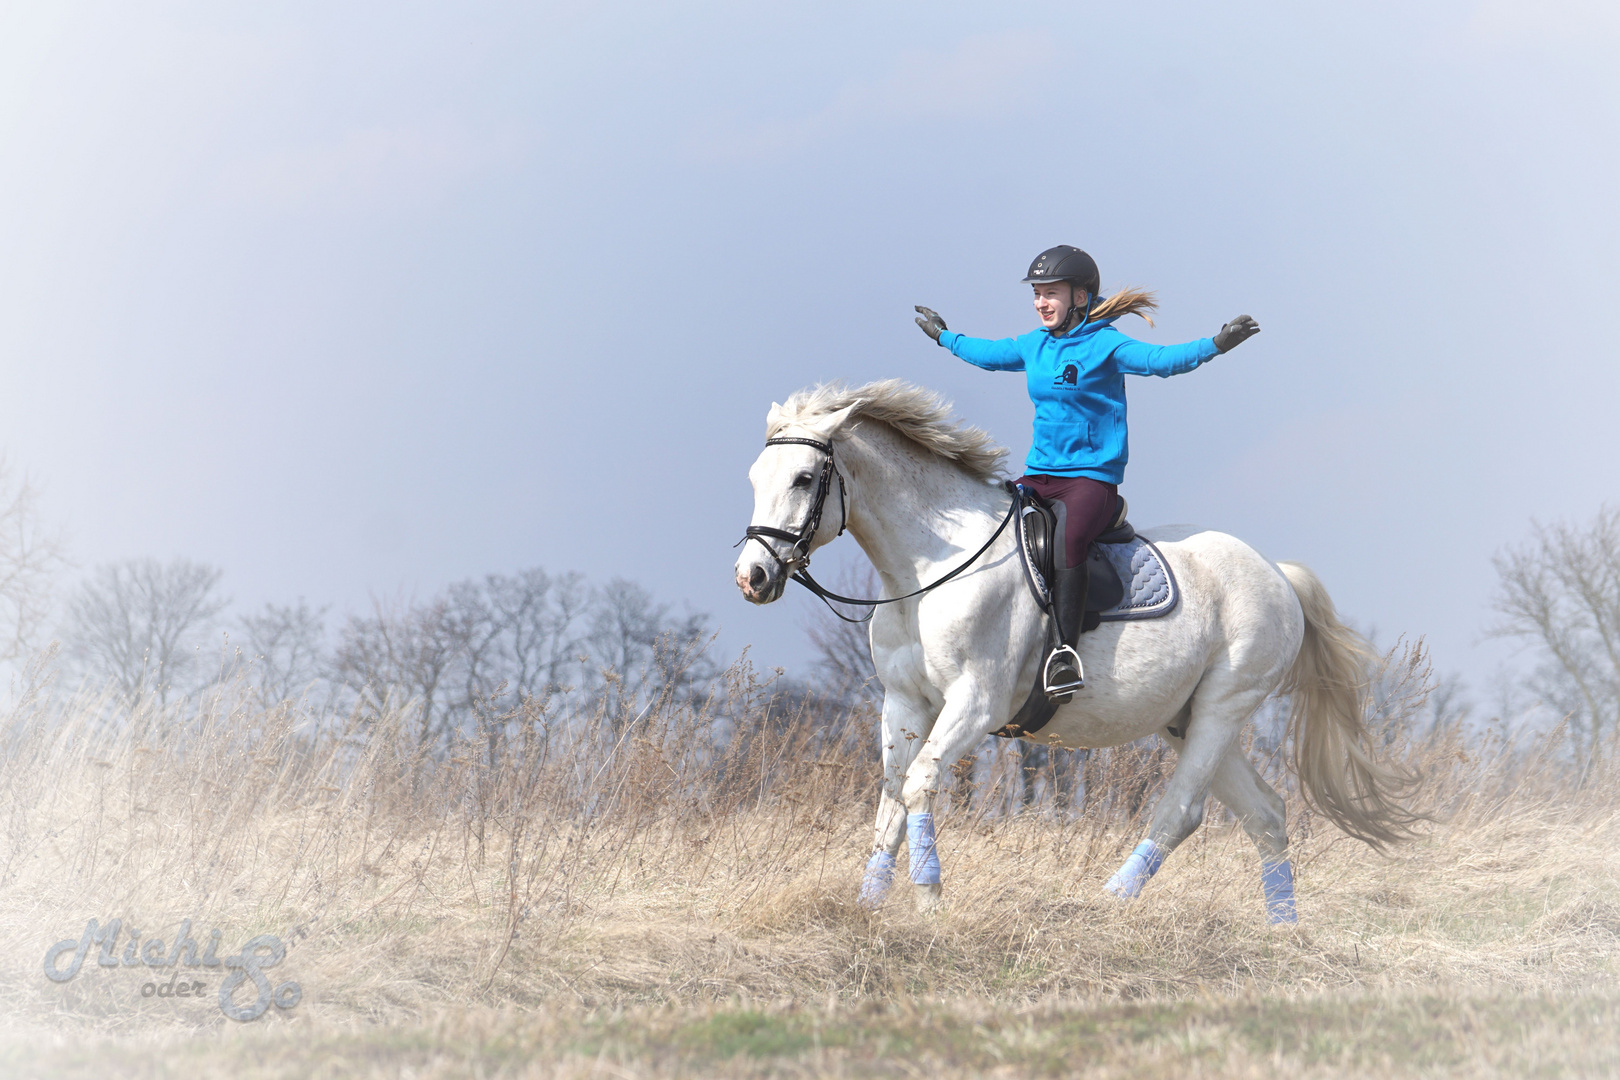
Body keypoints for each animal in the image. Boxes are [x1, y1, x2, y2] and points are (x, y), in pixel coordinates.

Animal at [738, 380, 1419, 919]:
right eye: (753, 479)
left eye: (804, 478)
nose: (752, 577)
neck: (929, 570)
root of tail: (1278, 573)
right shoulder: (905, 704)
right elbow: (890, 799)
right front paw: (870, 904)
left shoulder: (976, 704)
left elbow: (919, 785)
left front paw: (929, 898)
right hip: (1187, 720)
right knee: (1267, 815)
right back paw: (1283, 930)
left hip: (1224, 707)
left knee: (1182, 810)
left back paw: (1107, 902)